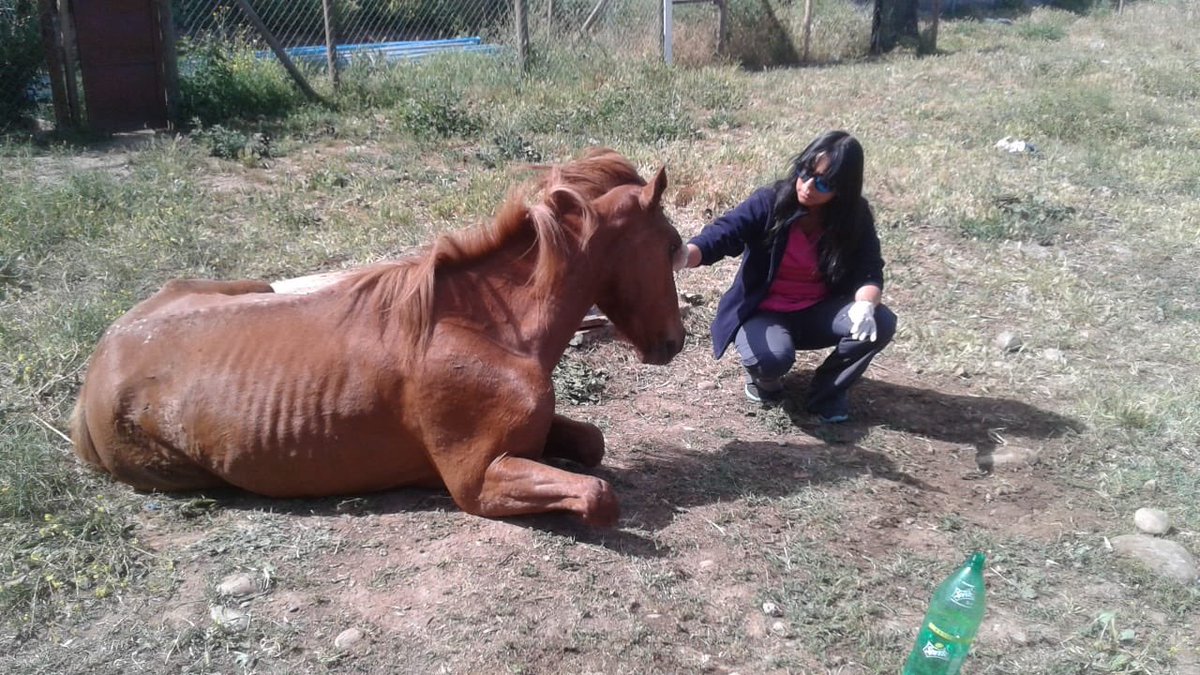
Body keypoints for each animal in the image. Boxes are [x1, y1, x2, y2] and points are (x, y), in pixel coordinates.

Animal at [70, 148, 686, 527]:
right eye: (671, 244)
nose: (675, 342)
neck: (490, 329)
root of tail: (104, 357)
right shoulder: (479, 482)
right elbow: (599, 496)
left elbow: (592, 445)